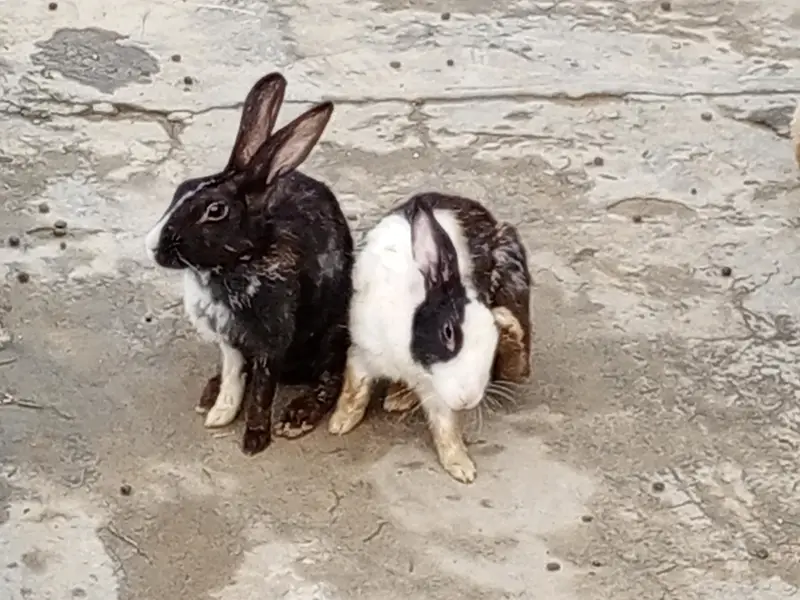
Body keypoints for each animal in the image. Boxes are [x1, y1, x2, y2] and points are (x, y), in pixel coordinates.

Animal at [144, 71, 354, 456]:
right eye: (182, 187)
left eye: (215, 211)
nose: (152, 247)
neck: (239, 261)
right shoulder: (229, 340)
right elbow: (234, 375)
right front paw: (219, 413)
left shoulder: (271, 340)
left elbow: (263, 390)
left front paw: (255, 439)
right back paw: (209, 394)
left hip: (335, 333)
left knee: (330, 377)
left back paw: (297, 417)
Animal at [328, 192, 531, 483]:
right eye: (448, 332)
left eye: (491, 338)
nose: (467, 399)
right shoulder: (363, 353)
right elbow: (355, 389)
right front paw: (341, 422)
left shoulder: (438, 393)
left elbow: (446, 428)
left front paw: (461, 466)